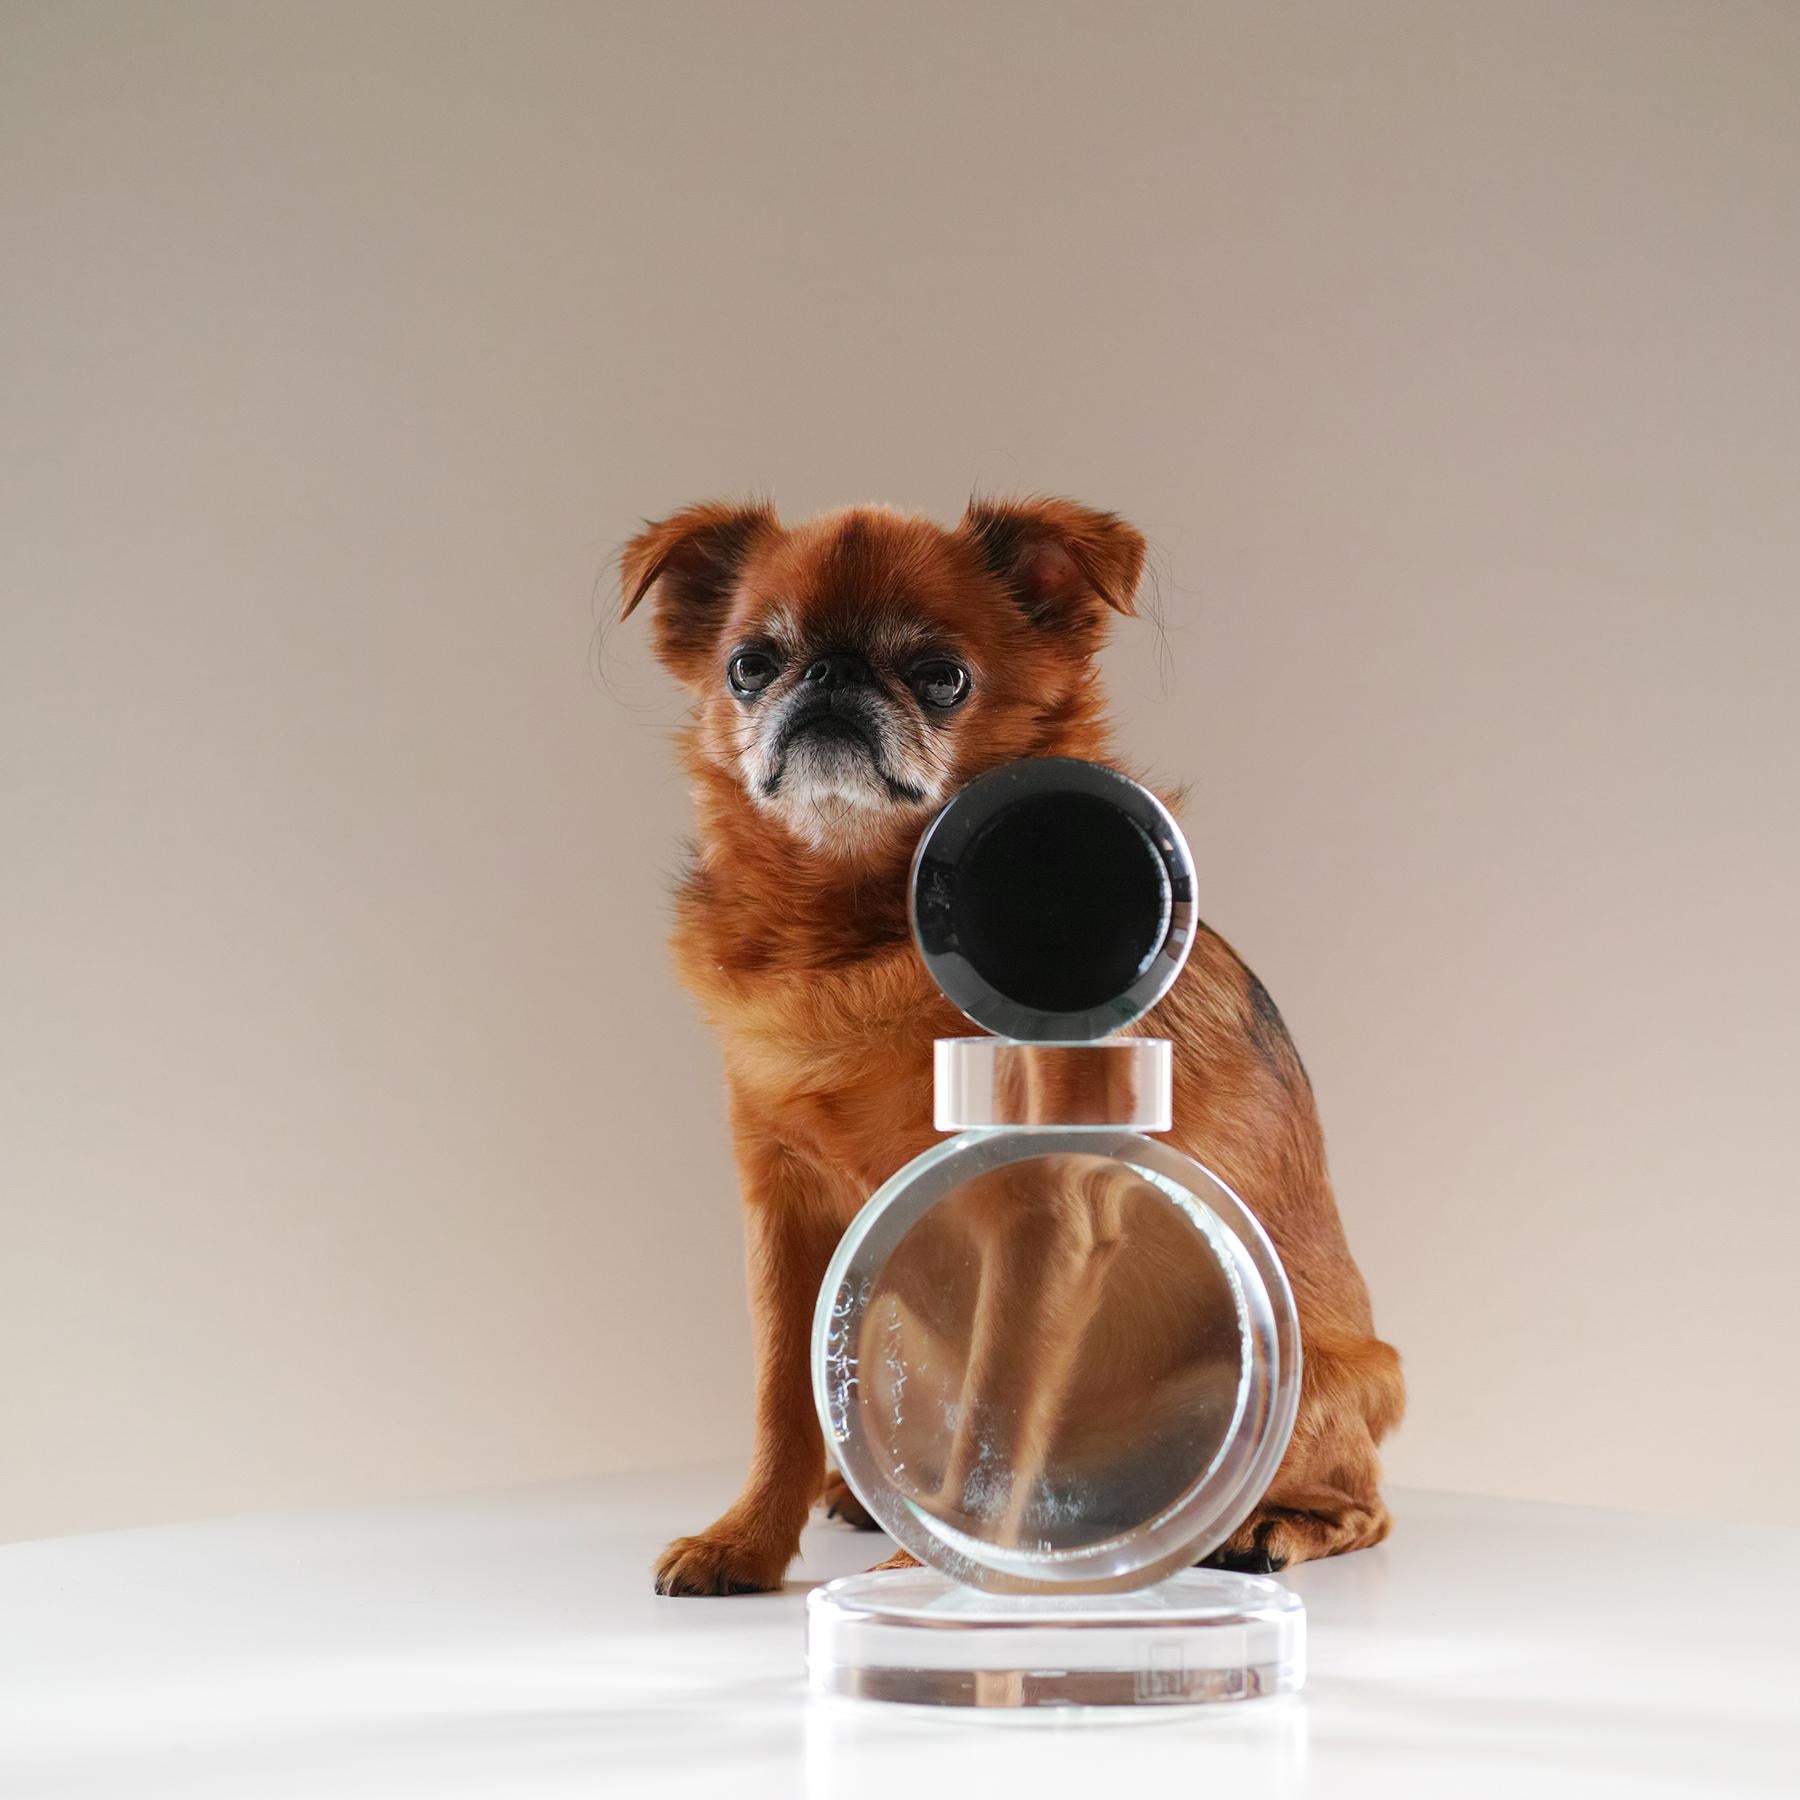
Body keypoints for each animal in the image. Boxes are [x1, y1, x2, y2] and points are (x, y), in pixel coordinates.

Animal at [622, 493, 1404, 1591]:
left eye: (942, 676)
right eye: (749, 664)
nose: (828, 676)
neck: (855, 937)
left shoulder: (1042, 1221)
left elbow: (995, 1410)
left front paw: (929, 1567)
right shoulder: (785, 1214)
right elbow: (784, 1396)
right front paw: (746, 1541)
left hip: (1288, 1384)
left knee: (1359, 1505)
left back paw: (1264, 1528)